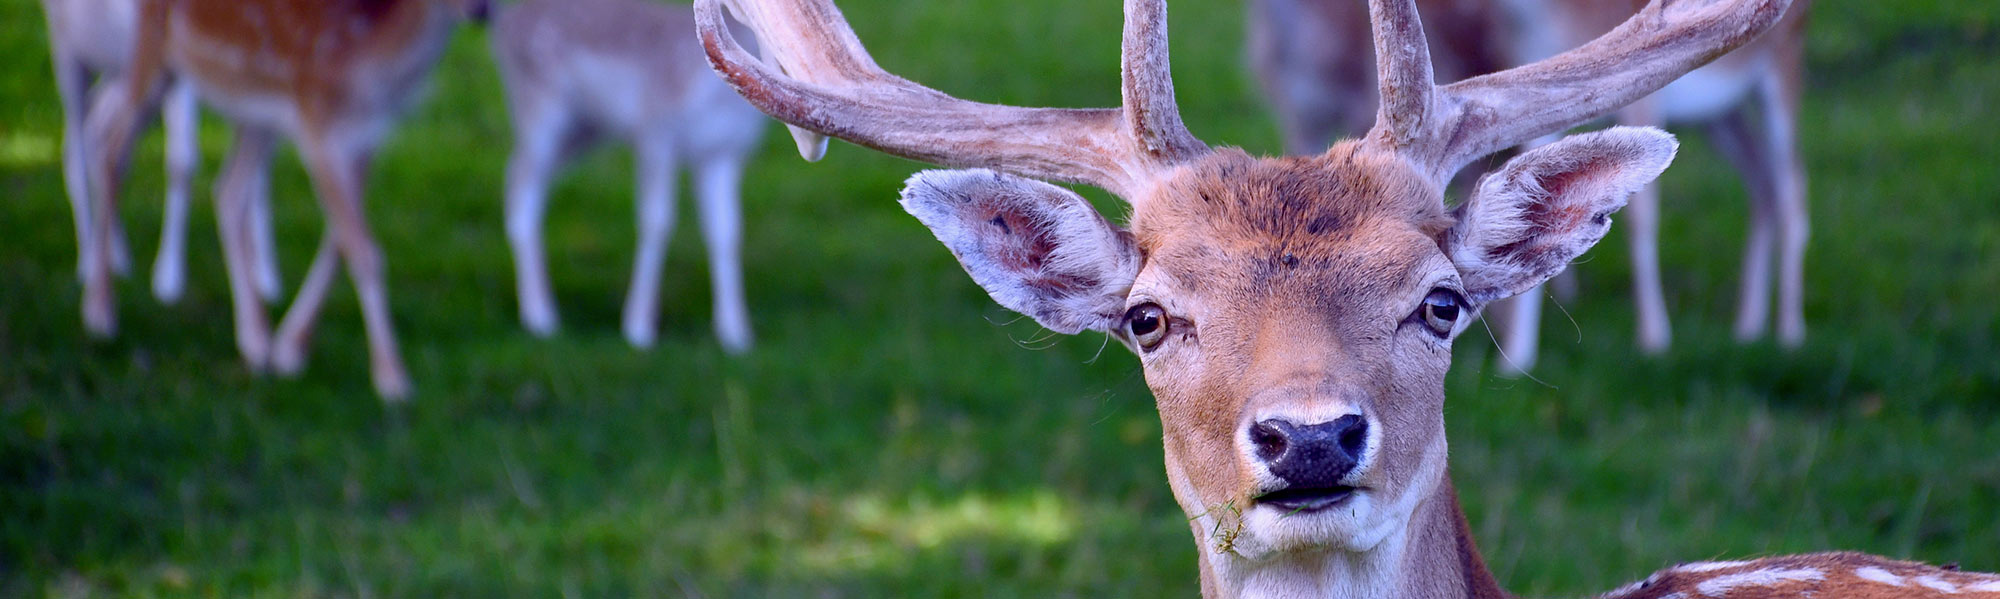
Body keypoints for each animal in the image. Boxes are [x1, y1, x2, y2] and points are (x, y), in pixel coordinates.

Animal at [37, 0, 286, 307]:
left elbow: (260, 175)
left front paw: (267, 280)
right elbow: (183, 161)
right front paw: (168, 281)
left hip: (124, 70)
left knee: (100, 130)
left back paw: (117, 257)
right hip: (67, 50)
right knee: (79, 145)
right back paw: (87, 264)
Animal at [85, 0, 492, 403]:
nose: (481, 11)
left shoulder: (369, 137)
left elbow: (342, 240)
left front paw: (291, 350)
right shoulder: (318, 125)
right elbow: (364, 251)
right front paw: (393, 378)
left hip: (247, 108)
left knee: (224, 186)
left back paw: (256, 340)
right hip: (155, 56)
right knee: (113, 148)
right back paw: (101, 313)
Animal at [488, 0, 768, 351]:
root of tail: (503, 23)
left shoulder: (723, 153)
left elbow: (726, 232)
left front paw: (735, 335)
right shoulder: (656, 130)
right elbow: (657, 221)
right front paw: (638, 328)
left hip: (584, 131)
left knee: (520, 173)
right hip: (539, 107)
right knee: (520, 179)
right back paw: (540, 317)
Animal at [1248, 0, 1816, 371]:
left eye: (1442, 306)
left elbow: (1642, 216)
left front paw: (1652, 338)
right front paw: (1518, 355)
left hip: (1779, 78)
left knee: (1790, 187)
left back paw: (1788, 333)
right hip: (1721, 116)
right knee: (1763, 183)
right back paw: (1750, 325)